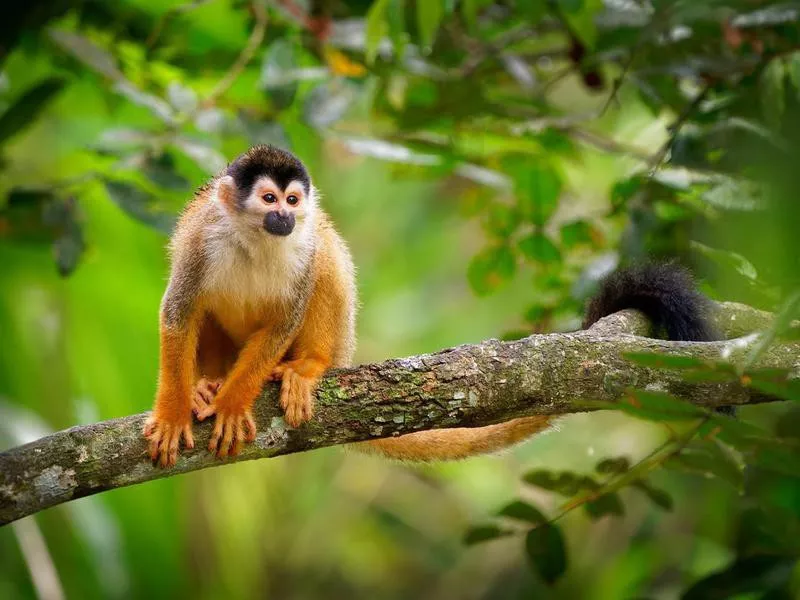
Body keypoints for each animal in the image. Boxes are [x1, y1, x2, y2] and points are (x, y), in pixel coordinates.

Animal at [145, 143, 720, 466]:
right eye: (268, 200)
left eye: (291, 201)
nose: (285, 217)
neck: (254, 239)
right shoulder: (201, 239)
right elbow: (178, 313)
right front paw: (175, 410)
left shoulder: (300, 248)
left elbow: (285, 316)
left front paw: (234, 404)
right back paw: (208, 381)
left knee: (328, 256)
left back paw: (307, 366)